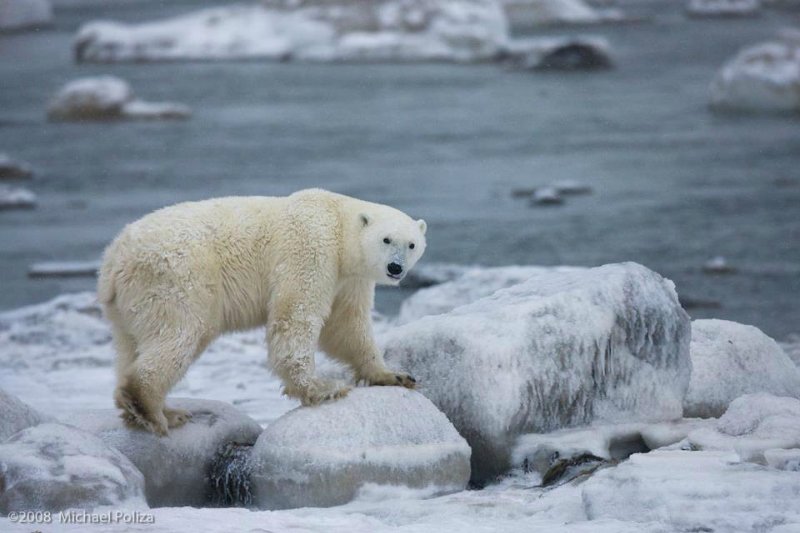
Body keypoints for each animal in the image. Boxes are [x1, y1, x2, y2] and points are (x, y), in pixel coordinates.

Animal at [97, 189, 428, 434]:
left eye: (412, 244)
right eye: (386, 239)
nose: (395, 268)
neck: (336, 221)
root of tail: (114, 258)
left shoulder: (349, 280)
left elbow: (346, 326)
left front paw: (394, 375)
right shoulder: (311, 249)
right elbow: (296, 315)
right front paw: (322, 388)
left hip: (129, 303)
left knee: (131, 344)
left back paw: (154, 410)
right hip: (176, 276)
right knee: (181, 333)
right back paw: (154, 409)